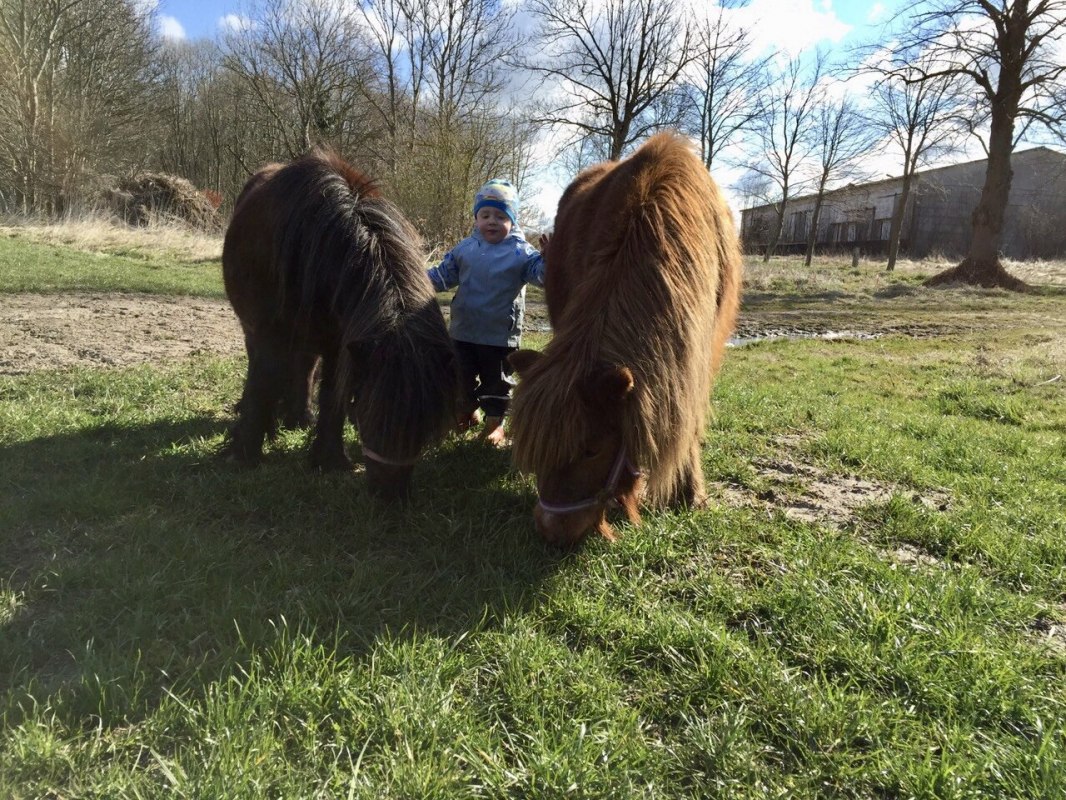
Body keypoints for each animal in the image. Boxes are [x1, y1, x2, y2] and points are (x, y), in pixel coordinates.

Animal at [221, 149, 458, 499]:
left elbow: (332, 396)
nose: (390, 496)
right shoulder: (269, 335)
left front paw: (329, 459)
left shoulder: (340, 345)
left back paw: (300, 417)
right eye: (370, 413)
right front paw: (245, 452)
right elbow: (261, 385)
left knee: (305, 367)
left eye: (425, 422)